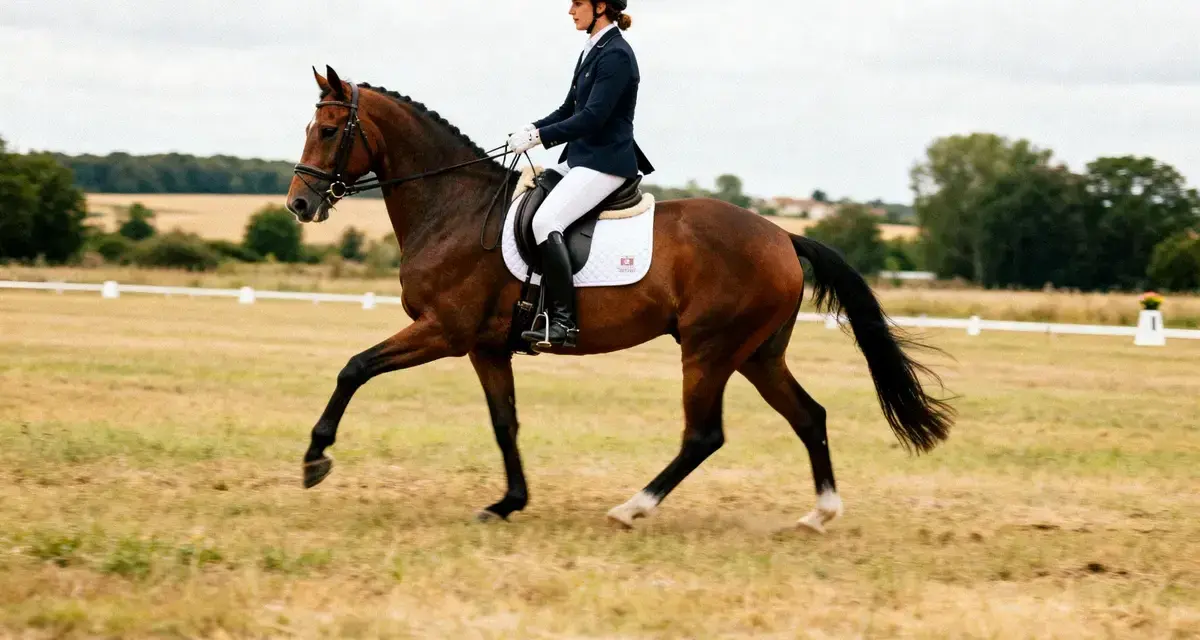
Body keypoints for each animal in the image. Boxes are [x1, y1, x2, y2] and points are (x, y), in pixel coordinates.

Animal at [286, 66, 954, 533]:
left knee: (703, 436)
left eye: (328, 130)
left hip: (710, 351)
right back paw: (820, 513)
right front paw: (508, 502)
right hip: (757, 354)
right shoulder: (484, 346)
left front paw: (315, 457)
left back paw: (632, 508)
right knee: (808, 416)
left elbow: (354, 368)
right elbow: (505, 422)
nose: (299, 204)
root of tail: (781, 236)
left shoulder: (443, 331)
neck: (455, 209)